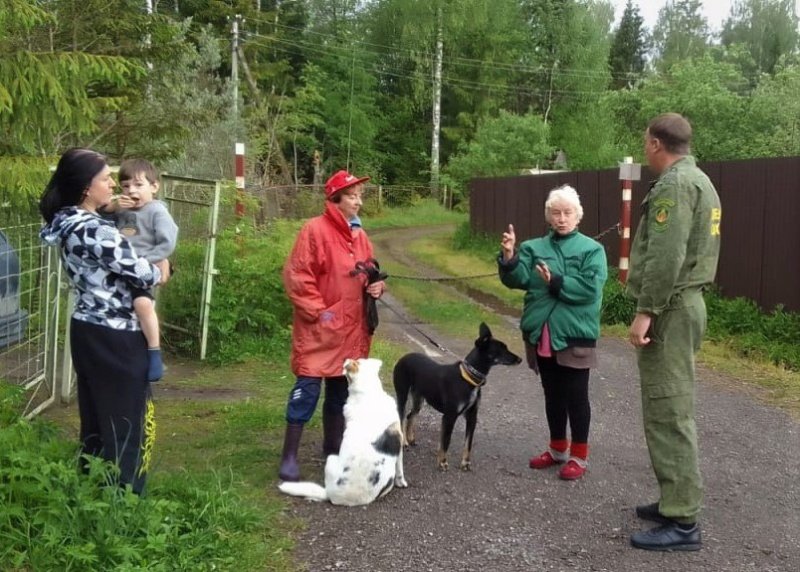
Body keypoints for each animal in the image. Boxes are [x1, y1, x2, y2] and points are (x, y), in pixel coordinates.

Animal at [280, 358, 406, 504]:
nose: (346, 359)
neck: (369, 392)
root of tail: (330, 494)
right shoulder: (399, 438)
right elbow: (400, 465)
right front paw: (401, 481)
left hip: (330, 459)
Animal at [390, 324, 520, 472]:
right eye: (501, 349)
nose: (520, 359)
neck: (469, 378)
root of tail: (403, 357)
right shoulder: (449, 417)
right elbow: (446, 441)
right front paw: (442, 462)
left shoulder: (472, 417)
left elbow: (468, 443)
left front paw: (465, 463)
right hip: (402, 395)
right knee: (401, 417)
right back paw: (404, 442)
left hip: (419, 399)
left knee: (410, 415)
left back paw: (410, 439)